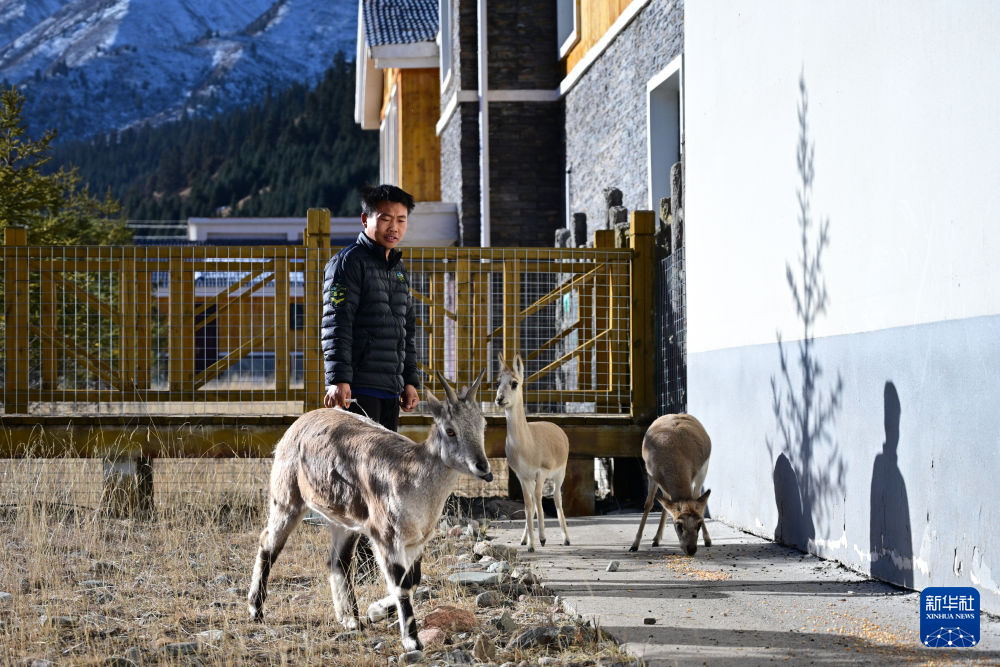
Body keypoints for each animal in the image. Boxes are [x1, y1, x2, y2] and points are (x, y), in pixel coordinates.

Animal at [248, 370, 491, 652]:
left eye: (482, 425)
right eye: (450, 430)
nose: (484, 468)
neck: (414, 478)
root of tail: (296, 425)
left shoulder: (416, 541)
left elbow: (414, 580)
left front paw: (375, 611)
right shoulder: (386, 536)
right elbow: (401, 584)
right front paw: (412, 641)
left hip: (345, 519)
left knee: (338, 560)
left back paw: (350, 619)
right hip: (287, 498)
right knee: (268, 543)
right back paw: (256, 609)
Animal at [495, 353, 570, 551]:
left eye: (514, 382)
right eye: (498, 381)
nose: (499, 399)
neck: (527, 445)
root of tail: (559, 430)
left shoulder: (541, 472)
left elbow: (538, 498)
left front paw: (542, 538)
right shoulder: (522, 476)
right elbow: (528, 504)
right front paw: (530, 544)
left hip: (559, 475)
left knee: (556, 498)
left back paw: (566, 538)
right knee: (534, 503)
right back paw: (525, 539)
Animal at [629, 413, 712, 556]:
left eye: (699, 524)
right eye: (679, 525)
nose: (691, 549)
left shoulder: (700, 472)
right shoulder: (651, 476)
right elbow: (648, 504)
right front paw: (634, 545)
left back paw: (707, 540)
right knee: (666, 500)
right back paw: (656, 539)